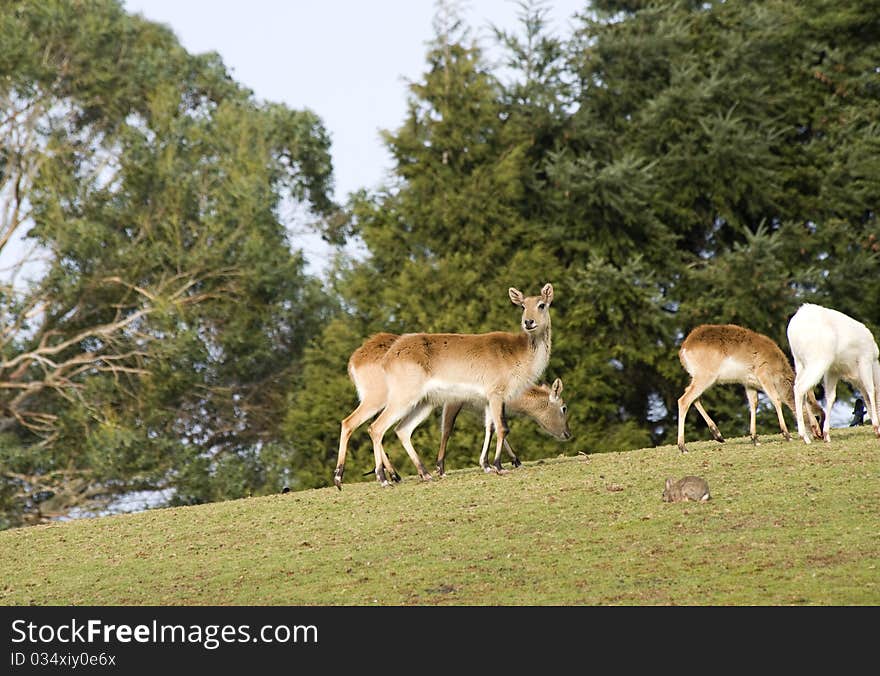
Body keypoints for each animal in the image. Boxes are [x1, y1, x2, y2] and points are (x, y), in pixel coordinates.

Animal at [332, 332, 572, 486]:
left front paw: (494, 463)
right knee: (357, 424)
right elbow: (449, 429)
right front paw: (441, 467)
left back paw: (397, 475)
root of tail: (356, 358)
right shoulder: (455, 402)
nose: (568, 433)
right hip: (382, 400)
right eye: (563, 407)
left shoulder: (485, 404)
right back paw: (352, 477)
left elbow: (492, 427)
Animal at [362, 284, 552, 486]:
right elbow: (503, 428)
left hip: (423, 403)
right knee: (376, 428)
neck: (517, 353)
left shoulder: (487, 400)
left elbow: (490, 427)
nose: (528, 322)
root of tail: (389, 355)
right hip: (403, 399)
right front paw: (499, 467)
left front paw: (487, 466)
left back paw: (425, 474)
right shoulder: (496, 394)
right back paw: (384, 479)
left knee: (402, 430)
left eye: (541, 304)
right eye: (523, 306)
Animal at [672, 324, 824, 452]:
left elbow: (753, 404)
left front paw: (755, 439)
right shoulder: (764, 375)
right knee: (684, 400)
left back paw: (718, 435)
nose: (820, 435)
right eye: (817, 416)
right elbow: (776, 399)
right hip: (705, 377)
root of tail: (684, 347)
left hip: (700, 378)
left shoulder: (749, 384)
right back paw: (683, 447)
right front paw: (787, 435)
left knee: (691, 396)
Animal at [784, 304, 880, 444]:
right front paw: (877, 428)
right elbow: (871, 390)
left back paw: (813, 432)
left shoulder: (833, 370)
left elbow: (830, 397)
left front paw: (826, 435)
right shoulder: (865, 359)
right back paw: (805, 437)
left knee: (803, 390)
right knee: (799, 388)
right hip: (818, 360)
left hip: (799, 362)